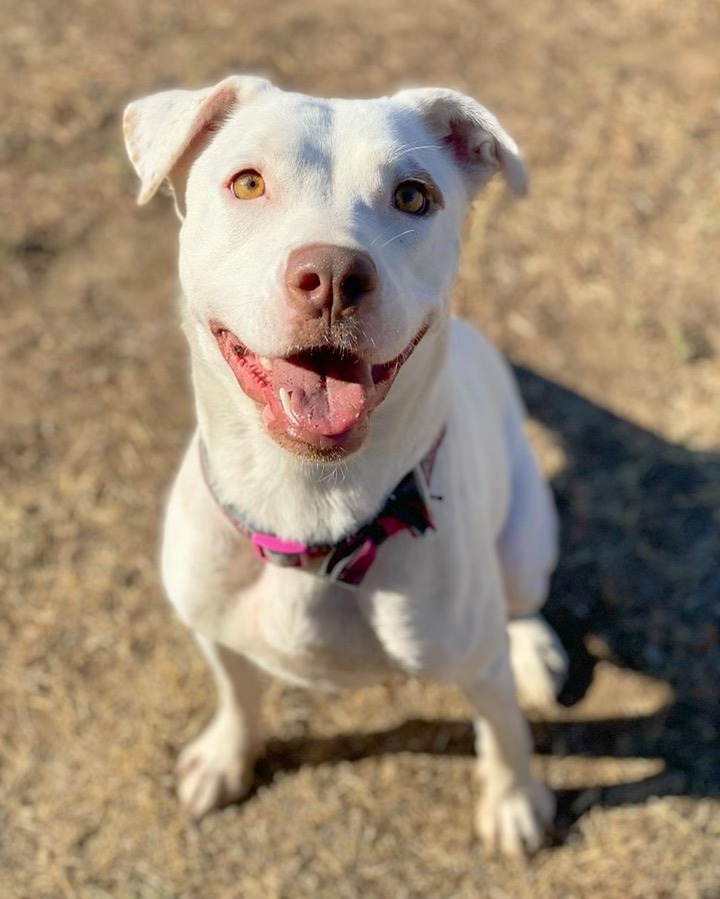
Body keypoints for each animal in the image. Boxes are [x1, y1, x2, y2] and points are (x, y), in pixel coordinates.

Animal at [126, 79, 568, 856]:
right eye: (247, 182)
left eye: (414, 196)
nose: (332, 275)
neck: (311, 513)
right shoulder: (214, 628)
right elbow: (237, 692)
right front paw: (225, 756)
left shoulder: (477, 667)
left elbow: (504, 731)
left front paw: (515, 801)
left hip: (523, 541)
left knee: (521, 603)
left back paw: (535, 649)